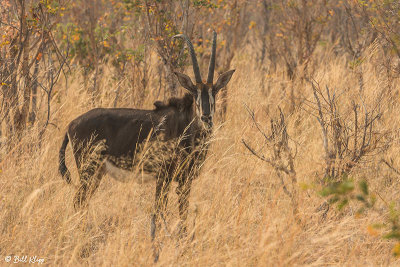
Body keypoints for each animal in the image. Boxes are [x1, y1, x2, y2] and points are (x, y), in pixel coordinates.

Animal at [57, 30, 233, 244]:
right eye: (194, 92)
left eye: (215, 91)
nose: (206, 117)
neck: (187, 126)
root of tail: (71, 124)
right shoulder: (164, 176)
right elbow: (159, 210)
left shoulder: (185, 180)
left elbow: (183, 210)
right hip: (88, 170)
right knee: (78, 201)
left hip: (96, 173)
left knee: (81, 202)